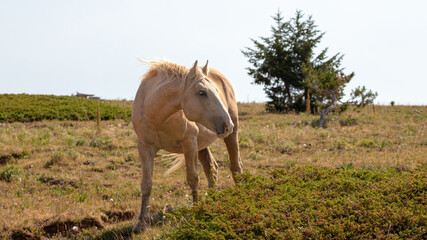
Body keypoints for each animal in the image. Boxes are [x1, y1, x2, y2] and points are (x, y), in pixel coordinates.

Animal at [130, 59, 244, 232]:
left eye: (216, 90)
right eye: (201, 92)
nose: (227, 125)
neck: (158, 118)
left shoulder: (189, 145)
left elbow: (193, 179)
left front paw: (196, 212)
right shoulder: (145, 148)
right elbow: (146, 184)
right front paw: (141, 223)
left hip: (231, 136)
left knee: (235, 167)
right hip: (202, 145)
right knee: (211, 169)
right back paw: (212, 201)